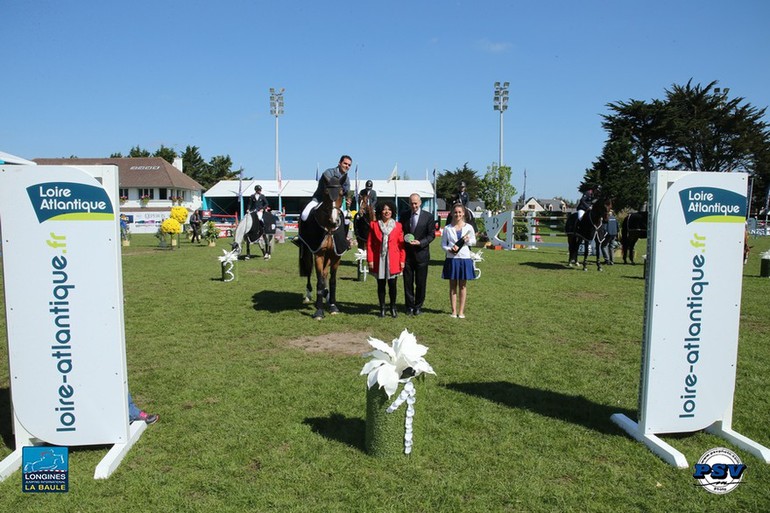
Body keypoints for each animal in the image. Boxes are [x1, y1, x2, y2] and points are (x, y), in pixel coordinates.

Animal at [296, 178, 348, 318]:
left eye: (341, 193)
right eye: (326, 192)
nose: (334, 221)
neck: (328, 227)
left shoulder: (336, 255)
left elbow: (332, 280)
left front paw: (333, 306)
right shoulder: (318, 253)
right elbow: (319, 280)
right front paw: (319, 311)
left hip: (329, 255)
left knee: (325, 273)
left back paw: (326, 295)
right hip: (308, 252)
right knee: (309, 271)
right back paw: (309, 294)